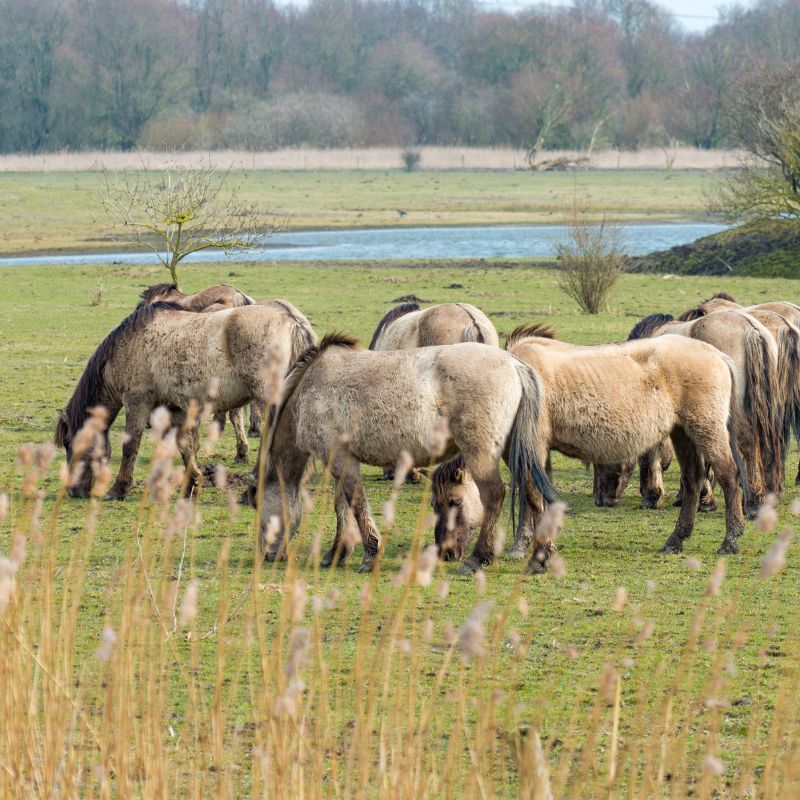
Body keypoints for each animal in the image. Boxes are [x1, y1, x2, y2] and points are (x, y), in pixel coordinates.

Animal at [55, 300, 316, 500]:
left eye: (69, 443)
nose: (73, 491)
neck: (130, 344)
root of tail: (291, 320)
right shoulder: (173, 407)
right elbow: (184, 445)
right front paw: (193, 483)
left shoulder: (136, 402)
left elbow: (130, 447)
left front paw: (118, 489)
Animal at [253, 332, 552, 576]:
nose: (266, 554)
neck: (308, 393)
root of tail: (514, 364)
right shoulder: (342, 461)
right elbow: (343, 505)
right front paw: (337, 553)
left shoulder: (339, 459)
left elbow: (355, 504)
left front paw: (370, 555)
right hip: (512, 450)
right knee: (533, 493)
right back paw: (539, 557)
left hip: (481, 453)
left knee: (494, 496)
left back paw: (478, 559)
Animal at [432, 324, 752, 568]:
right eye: (435, 503)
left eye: (455, 501)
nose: (445, 554)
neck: (516, 379)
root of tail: (716, 354)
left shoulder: (531, 447)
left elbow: (530, 494)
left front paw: (526, 548)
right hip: (682, 433)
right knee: (693, 480)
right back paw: (676, 540)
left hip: (707, 430)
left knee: (729, 476)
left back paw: (731, 539)